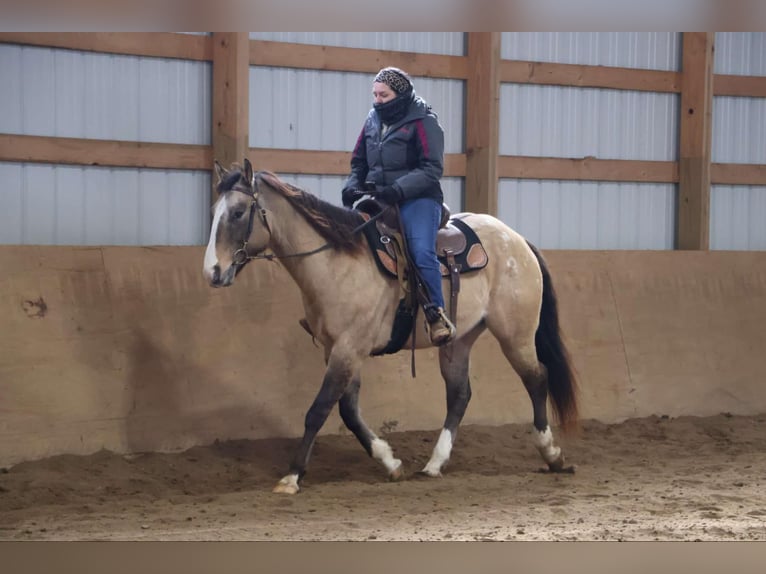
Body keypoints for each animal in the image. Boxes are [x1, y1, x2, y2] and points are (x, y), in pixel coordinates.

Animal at [203, 159, 579, 494]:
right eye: (215, 212)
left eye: (238, 213)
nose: (212, 272)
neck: (336, 261)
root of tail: (517, 240)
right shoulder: (339, 350)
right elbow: (349, 411)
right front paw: (390, 462)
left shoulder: (348, 348)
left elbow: (318, 410)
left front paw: (292, 476)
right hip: (459, 340)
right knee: (460, 394)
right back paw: (434, 464)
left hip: (516, 334)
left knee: (536, 378)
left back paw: (552, 454)